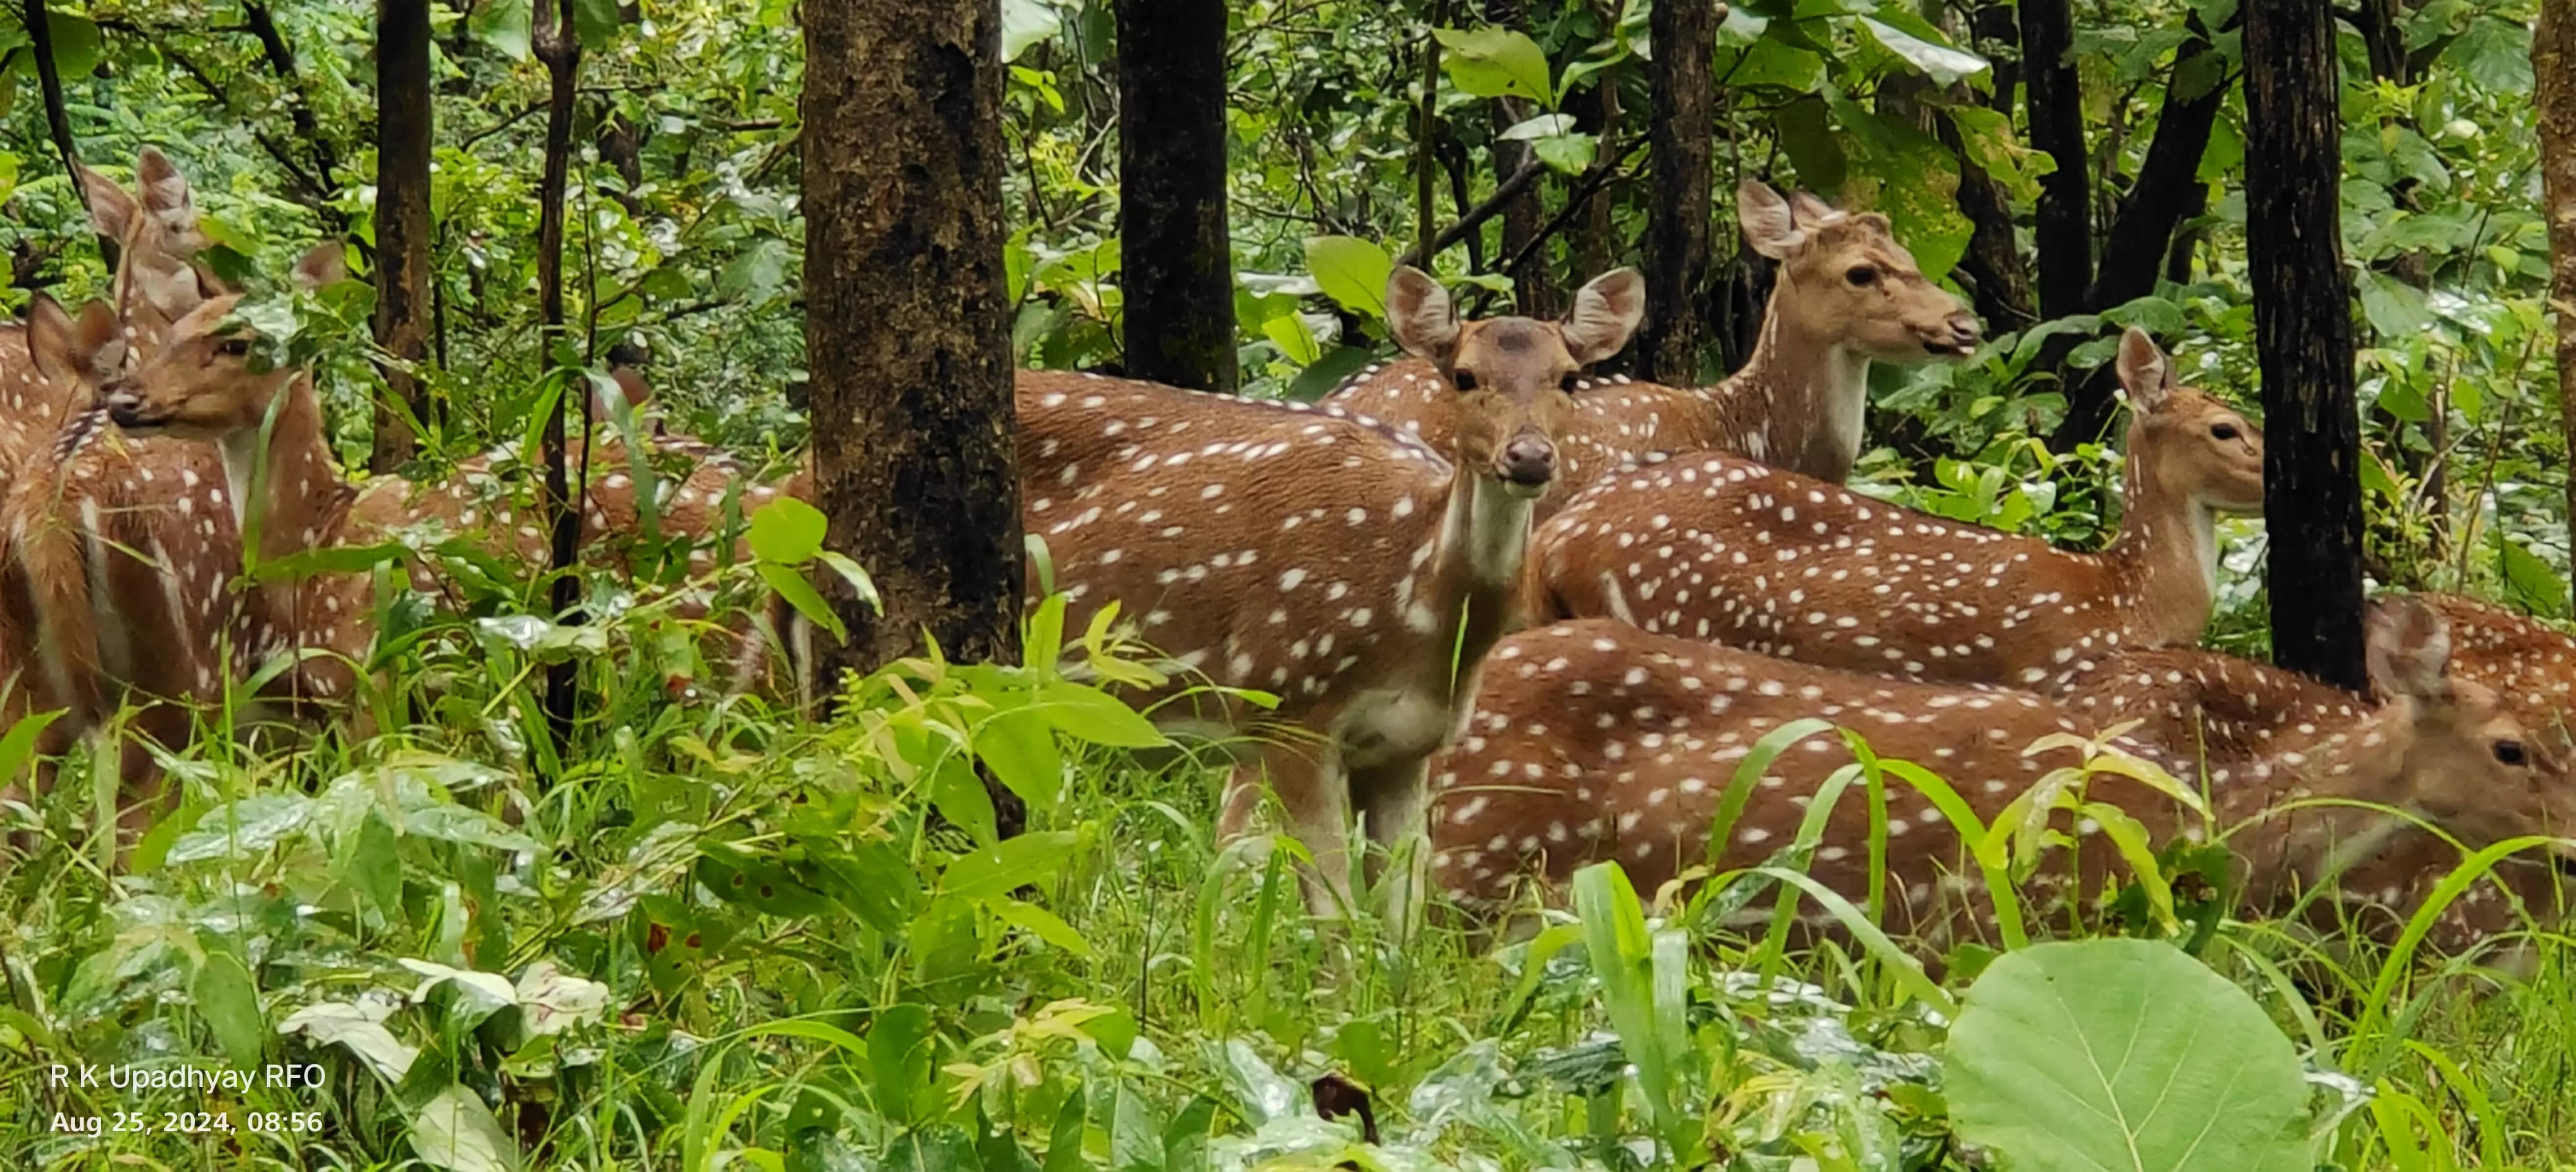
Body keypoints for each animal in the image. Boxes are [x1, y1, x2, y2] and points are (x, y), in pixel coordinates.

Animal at [1020, 264, 1638, 917]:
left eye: (1569, 377)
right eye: (1465, 375)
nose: (1529, 457)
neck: (1415, 599)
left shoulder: (1407, 747)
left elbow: (1400, 920)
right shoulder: (1287, 702)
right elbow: (1336, 920)